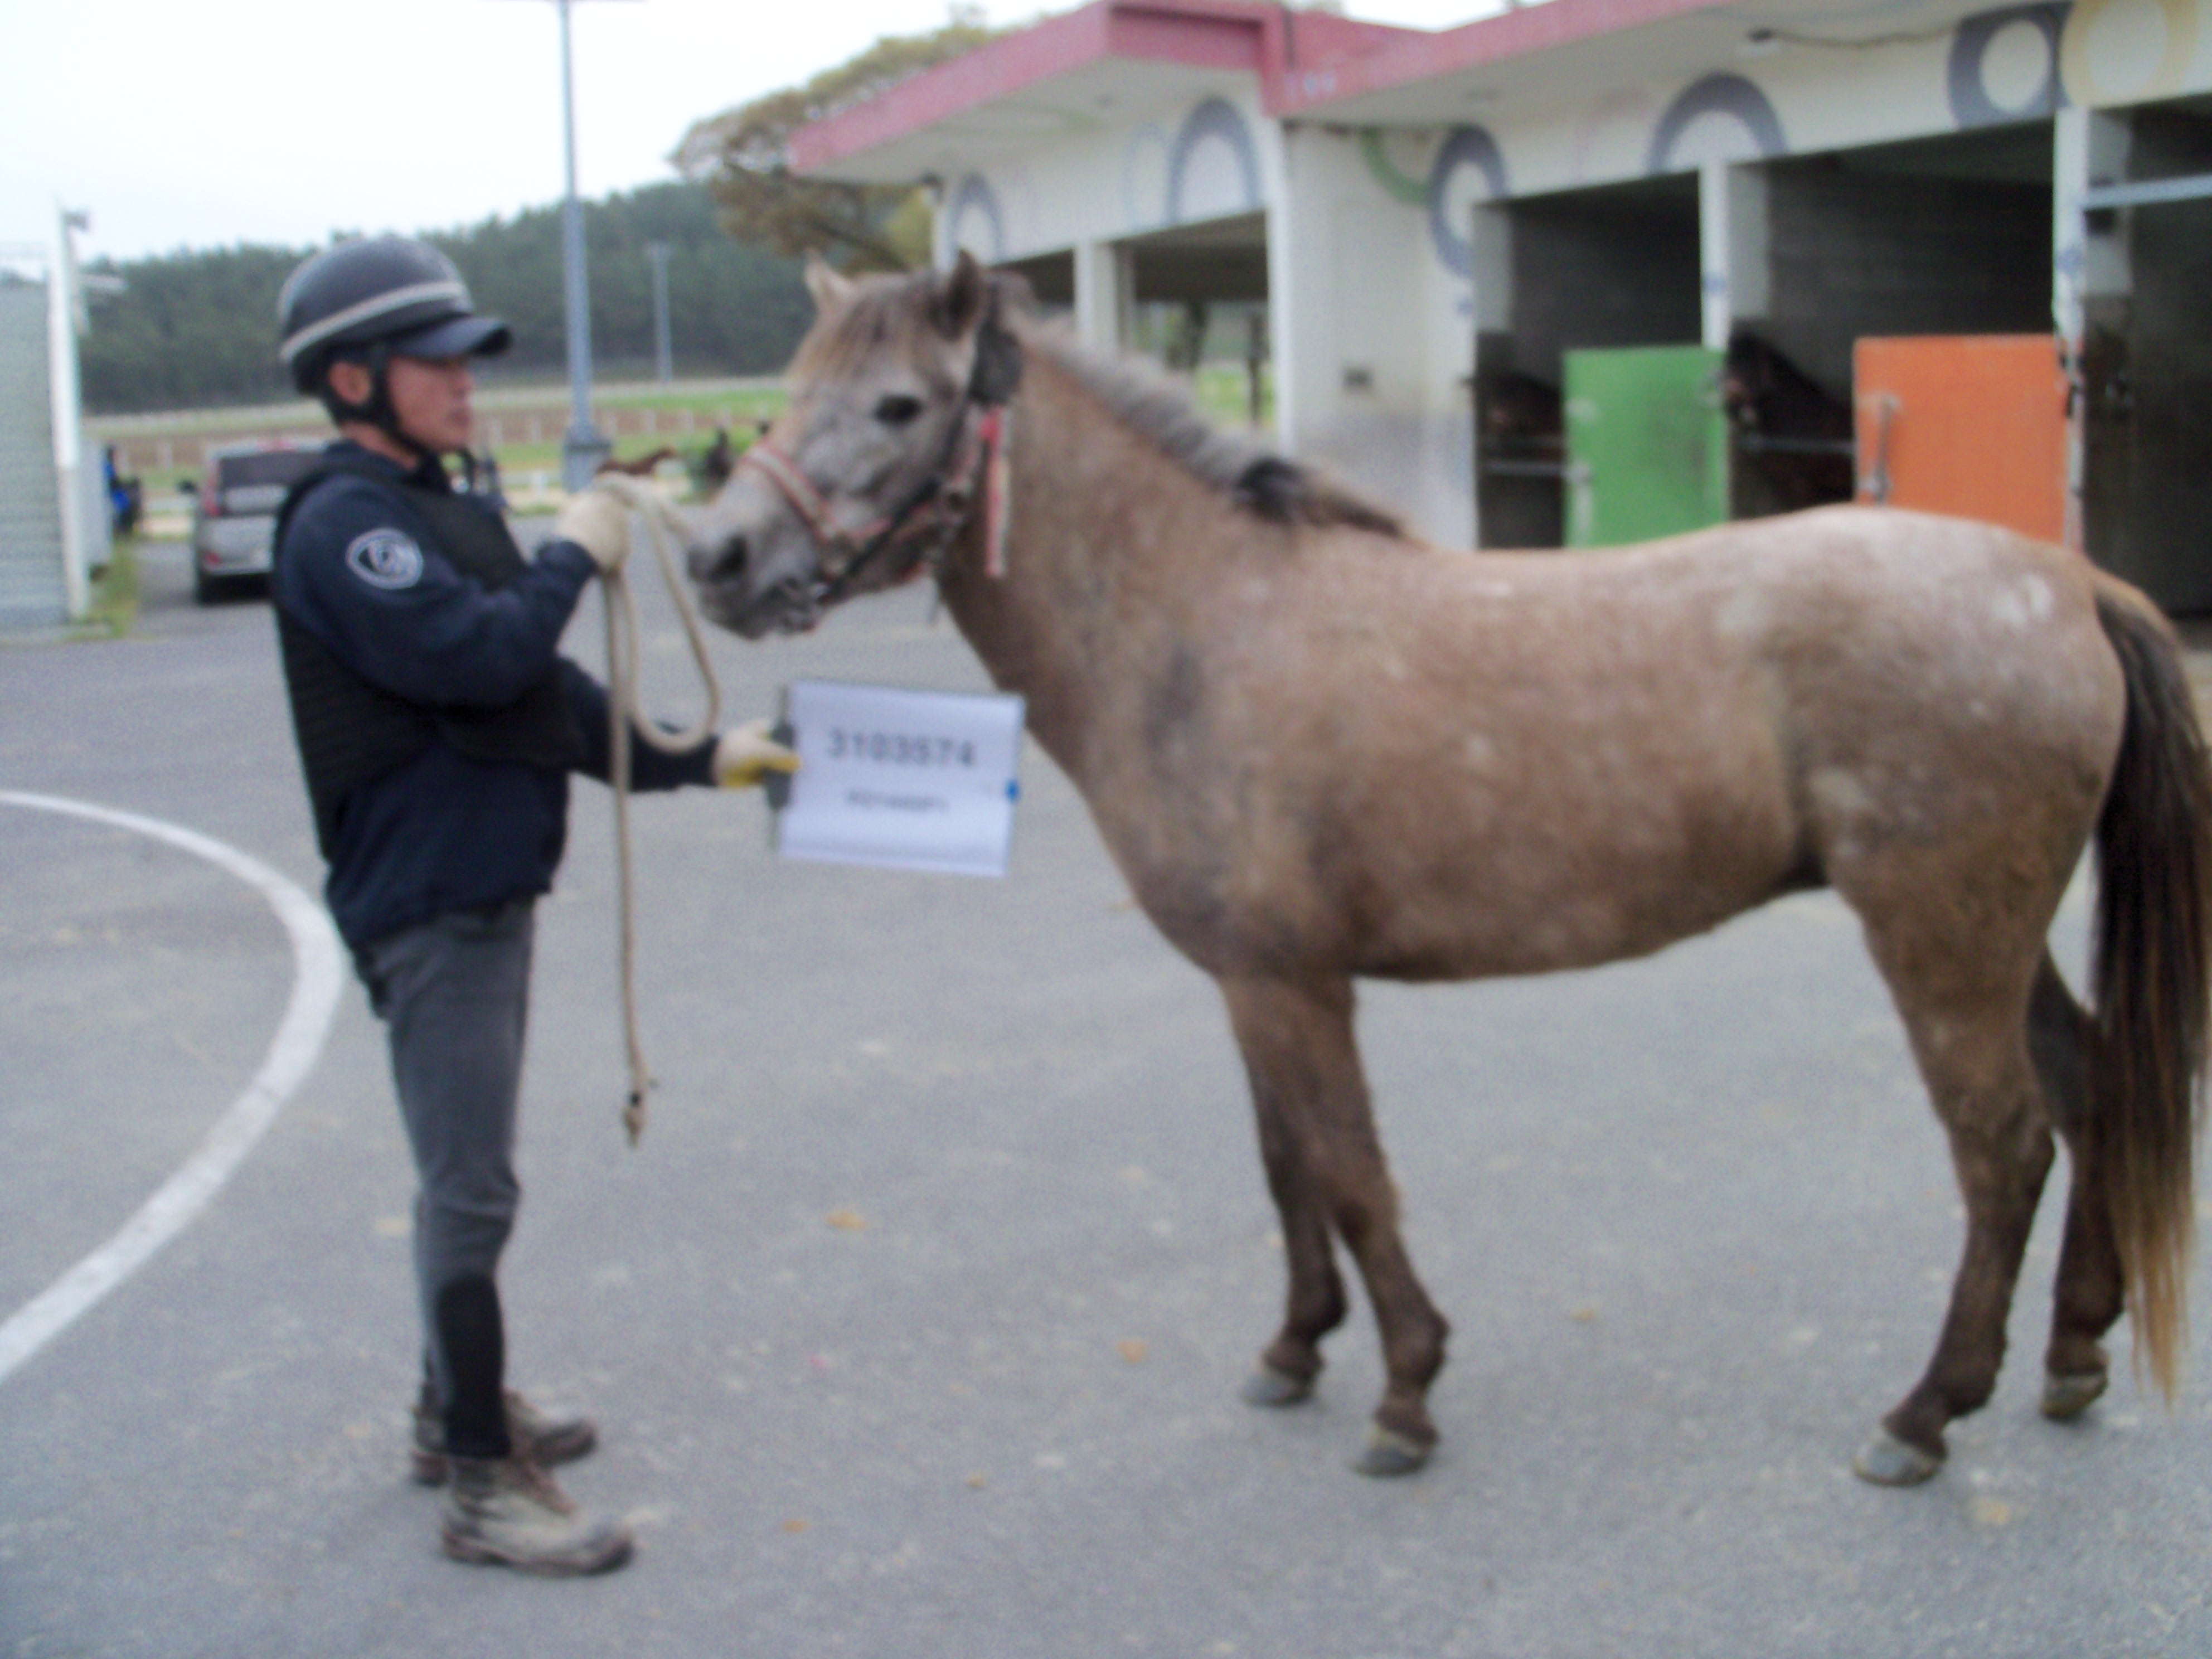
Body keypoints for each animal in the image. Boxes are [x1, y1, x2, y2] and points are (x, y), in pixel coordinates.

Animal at [681, 256, 2203, 1495]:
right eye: (794, 389)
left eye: (896, 405)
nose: (717, 556)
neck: (1201, 623)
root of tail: (2064, 582)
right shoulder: (1251, 984)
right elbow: (1286, 1168)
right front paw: (1292, 1350)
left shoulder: (1293, 986)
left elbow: (1352, 1178)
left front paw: (1403, 1397)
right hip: (1993, 935)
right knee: (2083, 1091)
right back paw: (2068, 1356)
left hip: (1934, 937)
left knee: (2000, 1144)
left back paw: (1922, 1414)